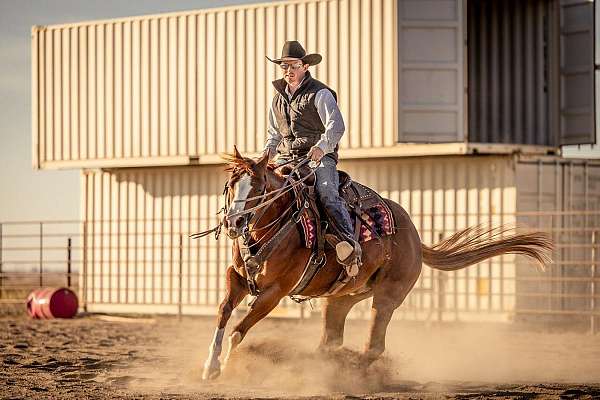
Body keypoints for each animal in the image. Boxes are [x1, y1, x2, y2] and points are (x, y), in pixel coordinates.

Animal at [200, 149, 548, 378]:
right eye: (231, 186)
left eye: (259, 188)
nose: (233, 223)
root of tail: (414, 237)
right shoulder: (238, 278)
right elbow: (223, 313)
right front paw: (210, 365)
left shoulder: (275, 291)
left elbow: (238, 330)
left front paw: (225, 366)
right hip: (341, 298)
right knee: (331, 340)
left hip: (388, 295)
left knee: (374, 345)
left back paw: (350, 373)